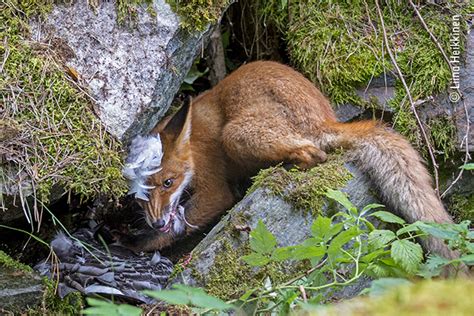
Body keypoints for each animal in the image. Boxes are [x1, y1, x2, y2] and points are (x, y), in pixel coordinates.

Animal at [124, 60, 458, 260]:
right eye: (140, 196)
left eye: (168, 182)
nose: (156, 221)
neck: (194, 145)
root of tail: (324, 118)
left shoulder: (214, 188)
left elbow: (187, 219)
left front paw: (136, 243)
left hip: (236, 134)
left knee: (314, 153)